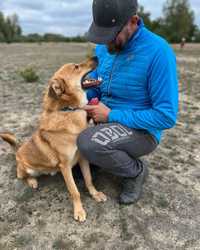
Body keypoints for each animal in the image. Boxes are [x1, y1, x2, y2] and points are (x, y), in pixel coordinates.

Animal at [0, 57, 107, 223]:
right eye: (76, 67)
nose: (96, 57)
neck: (69, 110)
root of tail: (18, 151)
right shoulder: (65, 166)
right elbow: (74, 191)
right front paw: (79, 211)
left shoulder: (82, 158)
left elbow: (89, 179)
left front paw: (95, 194)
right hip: (26, 168)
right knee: (21, 176)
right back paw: (32, 181)